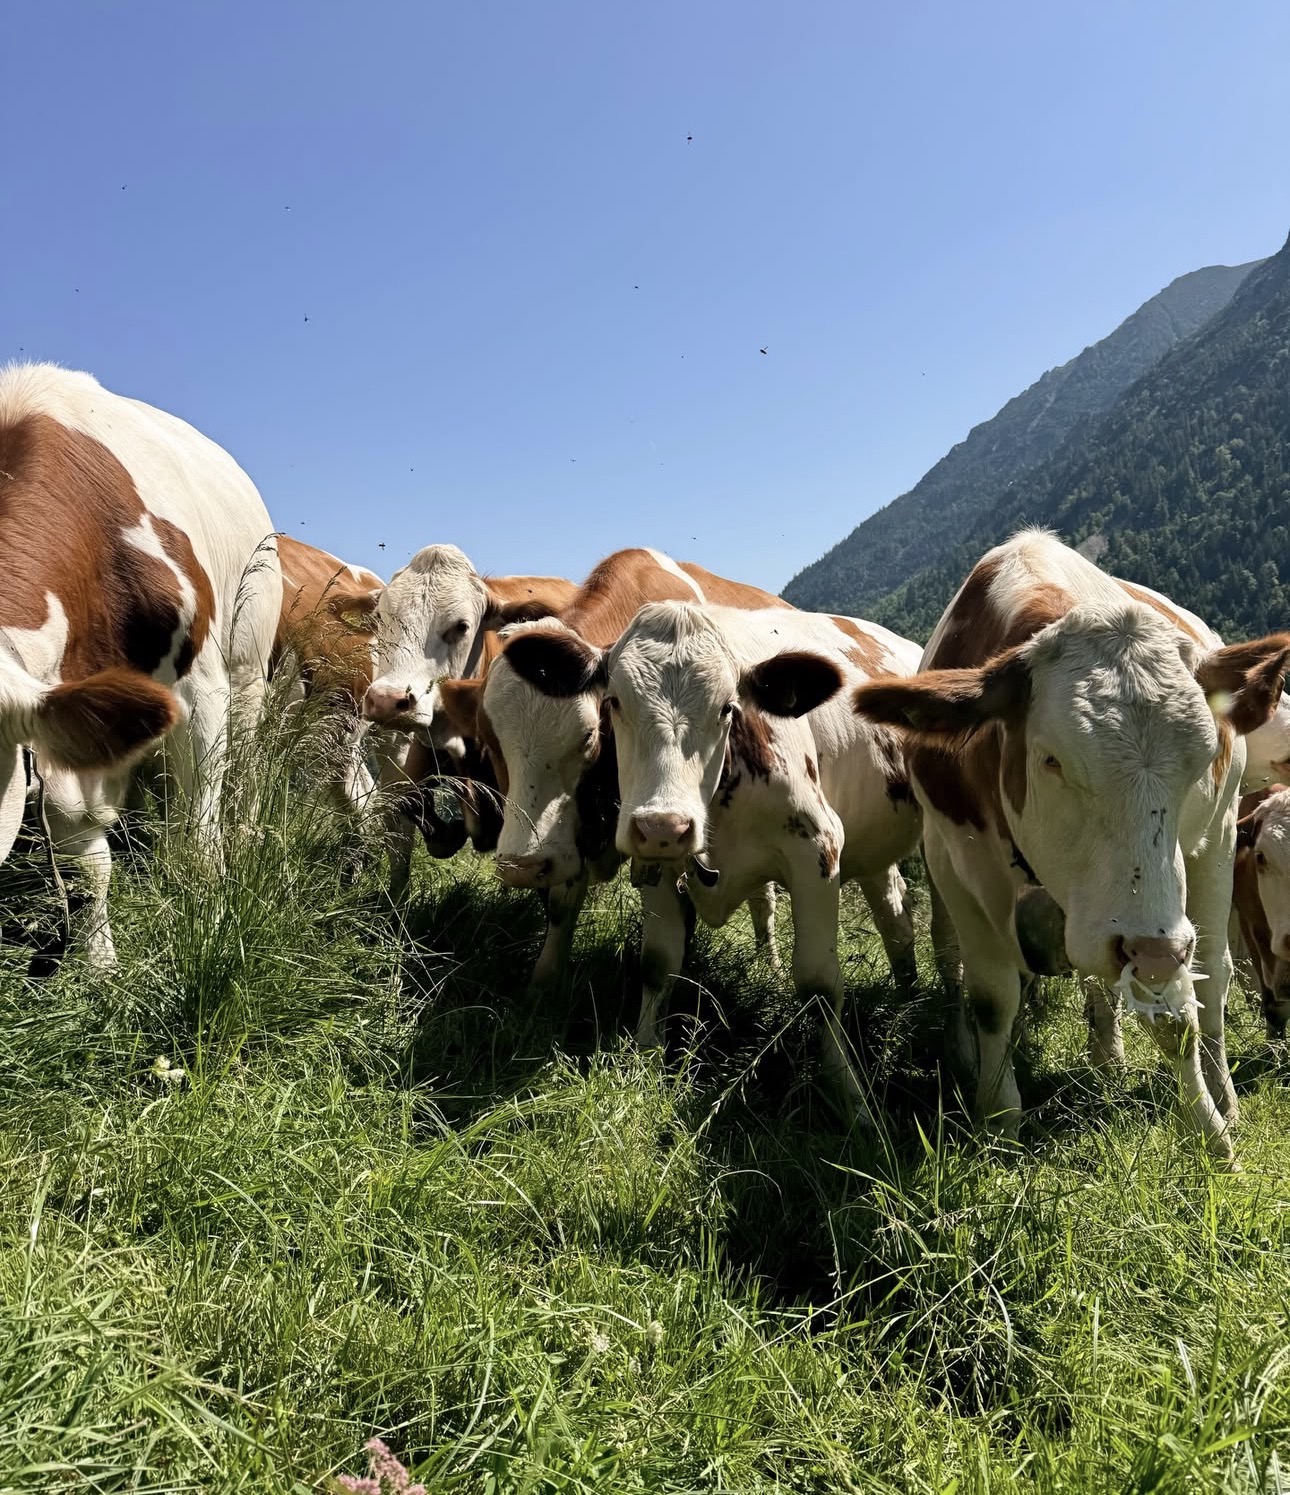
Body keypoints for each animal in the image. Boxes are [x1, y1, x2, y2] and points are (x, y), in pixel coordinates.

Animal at [0, 363, 281, 966]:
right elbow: (88, 861)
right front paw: (99, 960)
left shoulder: (201, 693)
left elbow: (200, 837)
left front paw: (208, 925)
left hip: (248, 672)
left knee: (242, 773)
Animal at [435, 548, 791, 991]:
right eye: (487, 737)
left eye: (590, 735)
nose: (524, 866)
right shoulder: (572, 830)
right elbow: (562, 901)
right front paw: (545, 979)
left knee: (765, 897)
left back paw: (771, 964)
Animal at [597, 600, 951, 1110]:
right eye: (614, 702)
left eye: (727, 707)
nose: (665, 825)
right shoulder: (656, 862)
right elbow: (657, 964)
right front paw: (646, 1057)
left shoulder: (818, 846)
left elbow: (819, 984)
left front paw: (850, 1097)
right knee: (896, 916)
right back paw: (906, 994)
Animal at [849, 530, 1288, 1166]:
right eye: (1050, 759)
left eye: (1203, 757)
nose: (1150, 949)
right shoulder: (954, 861)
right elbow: (992, 997)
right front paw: (998, 1121)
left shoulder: (1166, 909)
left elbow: (1179, 1010)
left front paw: (1210, 1131)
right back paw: (1102, 1057)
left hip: (1215, 845)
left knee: (1212, 974)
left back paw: (1219, 1090)